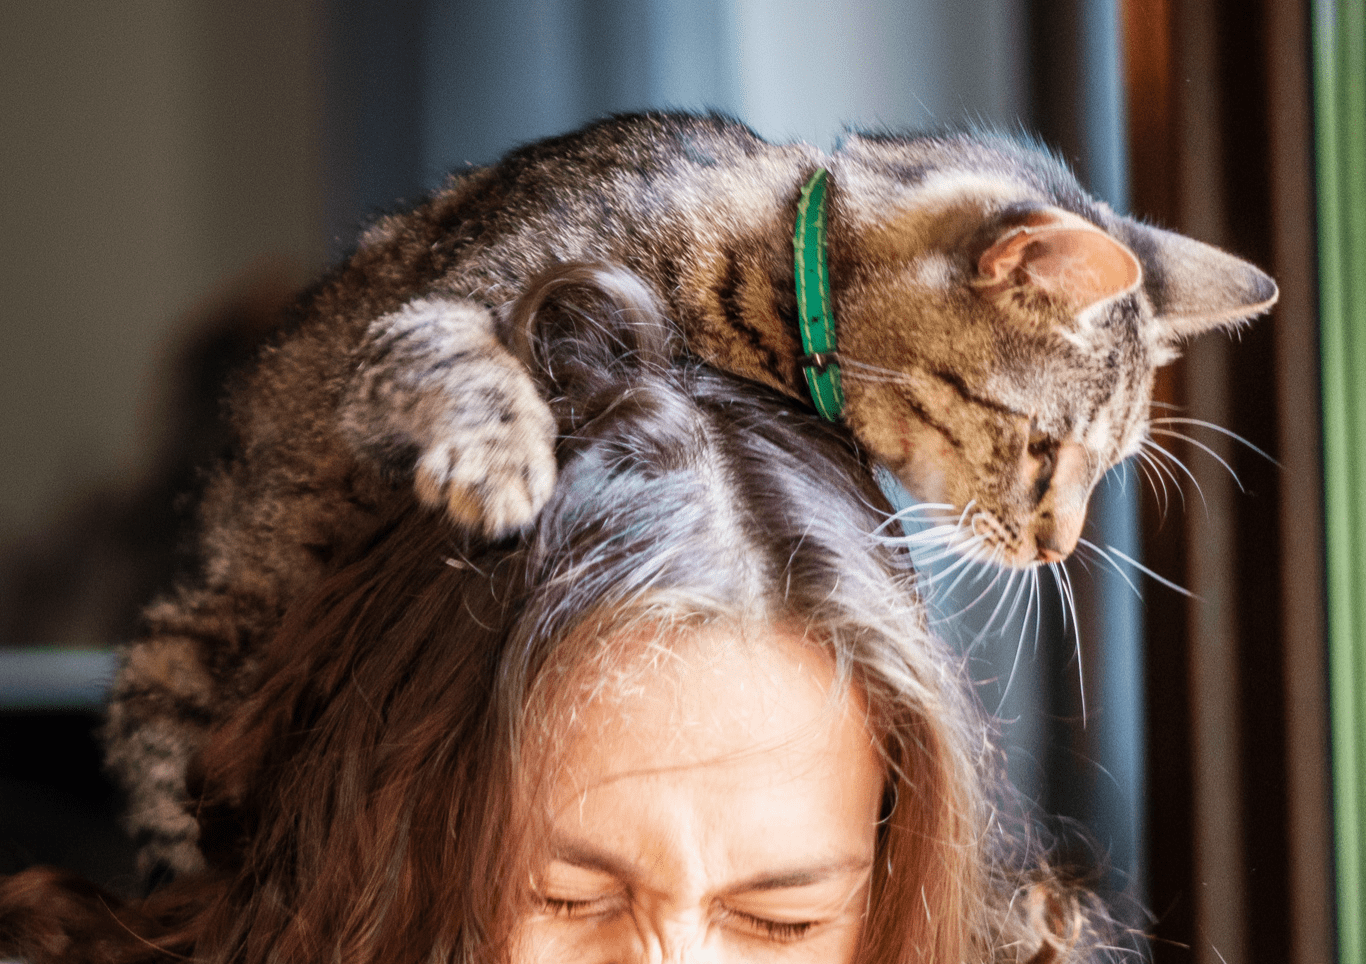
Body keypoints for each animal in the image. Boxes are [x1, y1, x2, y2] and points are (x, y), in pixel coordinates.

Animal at [101, 109, 1273, 873]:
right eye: (1044, 448)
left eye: (1103, 466)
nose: (1055, 545)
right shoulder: (437, 304)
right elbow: (457, 353)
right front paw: (499, 460)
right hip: (196, 644)